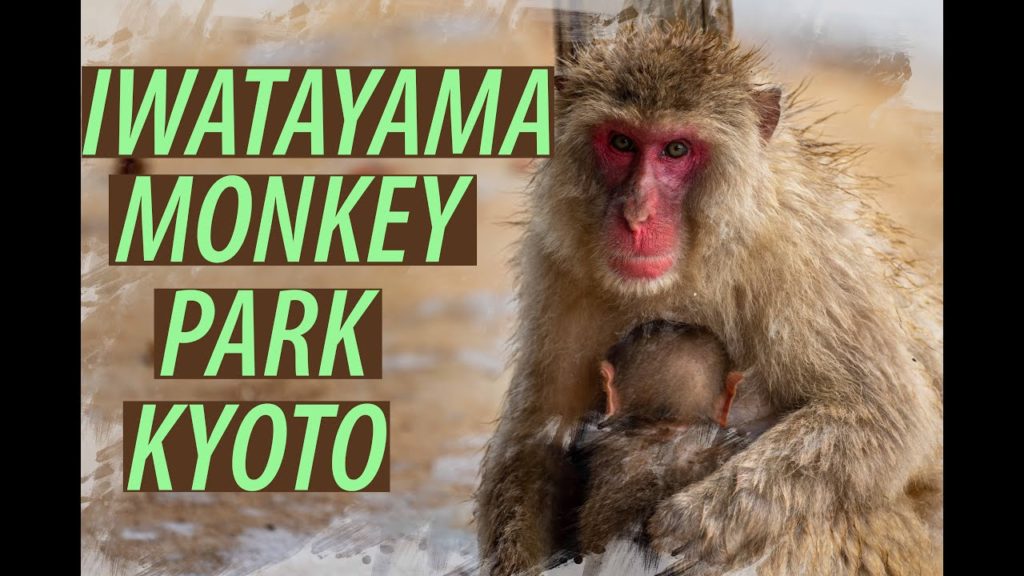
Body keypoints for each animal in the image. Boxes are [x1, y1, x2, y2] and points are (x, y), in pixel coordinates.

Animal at [475, 22, 942, 576]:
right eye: (621, 142)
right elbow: (538, 438)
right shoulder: (558, 259)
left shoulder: (805, 254)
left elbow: (883, 419)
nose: (636, 215)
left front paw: (687, 524)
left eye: (676, 150)